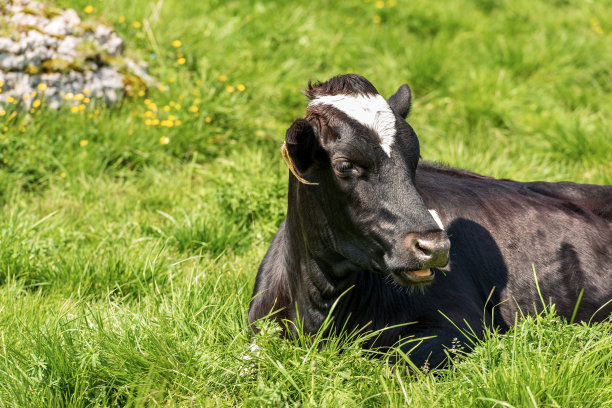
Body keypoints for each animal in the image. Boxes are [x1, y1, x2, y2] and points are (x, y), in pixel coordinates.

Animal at [249, 74, 612, 370]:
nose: (435, 246)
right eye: (344, 165)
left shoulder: (462, 325)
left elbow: (393, 362)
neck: (318, 310)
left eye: (415, 159)